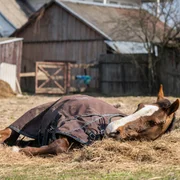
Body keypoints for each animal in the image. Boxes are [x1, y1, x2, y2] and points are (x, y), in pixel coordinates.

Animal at [0, 85, 179, 155]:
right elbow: (59, 145)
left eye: (154, 122)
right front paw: (19, 150)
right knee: (9, 132)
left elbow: (59, 146)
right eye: (139, 105)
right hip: (31, 117)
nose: (112, 128)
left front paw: (20, 149)